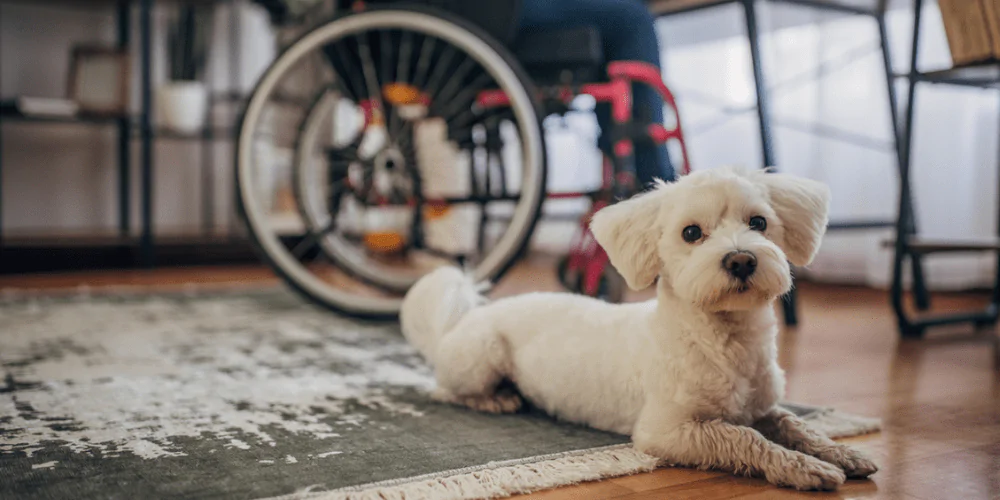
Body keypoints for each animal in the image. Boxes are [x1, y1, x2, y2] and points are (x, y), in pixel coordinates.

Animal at [398, 166, 876, 490]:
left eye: (758, 222)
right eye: (691, 233)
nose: (741, 260)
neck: (721, 341)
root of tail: (462, 319)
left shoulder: (764, 407)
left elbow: (797, 425)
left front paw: (841, 452)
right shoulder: (668, 430)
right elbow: (742, 436)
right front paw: (803, 468)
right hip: (481, 358)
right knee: (446, 391)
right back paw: (496, 399)